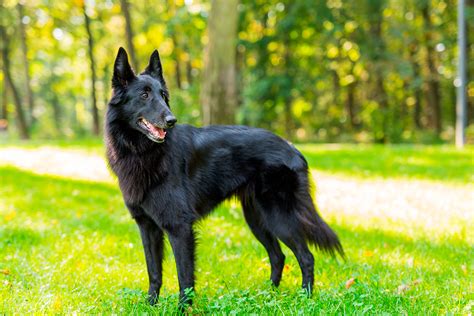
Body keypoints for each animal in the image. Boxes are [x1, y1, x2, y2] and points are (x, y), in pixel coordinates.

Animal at [105, 47, 342, 306]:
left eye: (163, 95)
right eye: (145, 95)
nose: (171, 121)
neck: (142, 151)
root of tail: (292, 147)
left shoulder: (179, 228)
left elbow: (184, 277)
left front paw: (183, 309)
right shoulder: (147, 227)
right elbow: (154, 271)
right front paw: (151, 305)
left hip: (278, 217)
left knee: (306, 256)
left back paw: (305, 298)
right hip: (257, 219)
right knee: (278, 256)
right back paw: (269, 296)